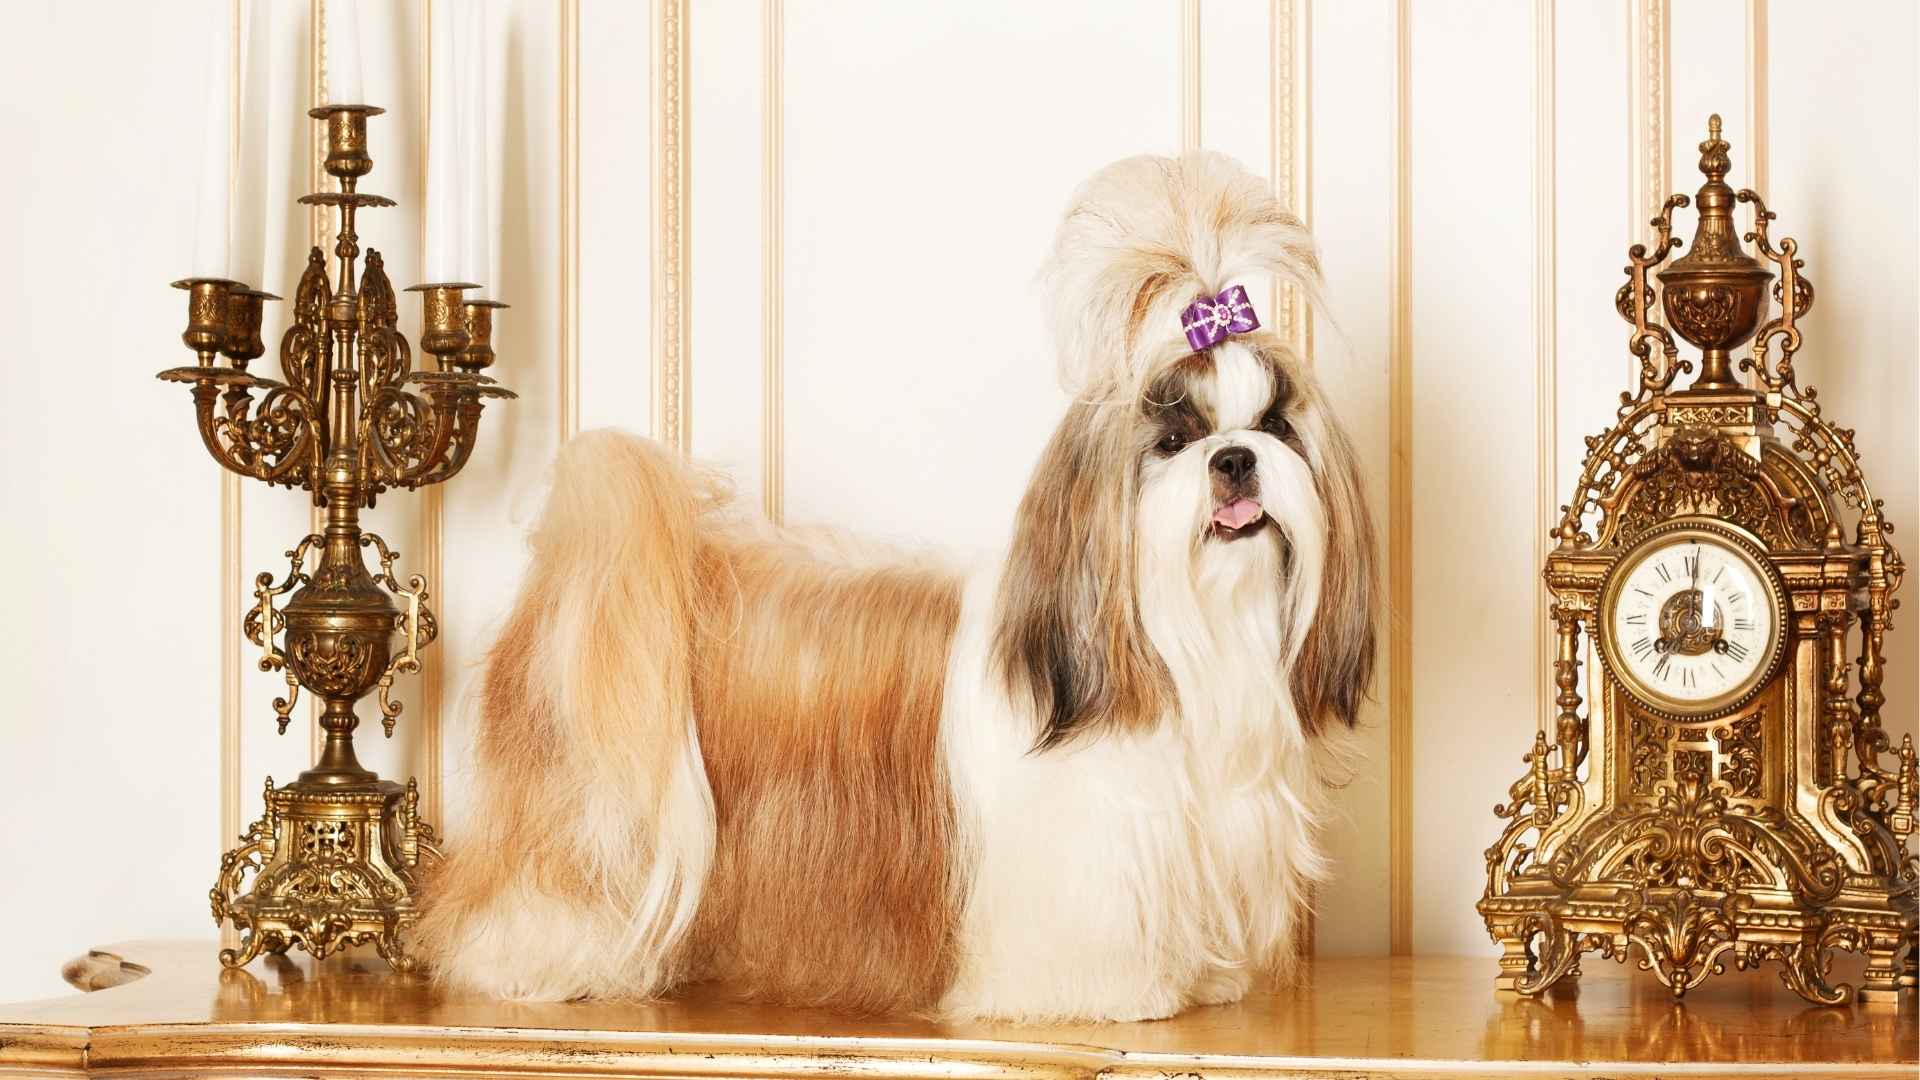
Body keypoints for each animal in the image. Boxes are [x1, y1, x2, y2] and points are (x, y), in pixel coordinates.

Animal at [414, 152, 1378, 1022]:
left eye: (1274, 423)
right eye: (1173, 439)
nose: (1236, 458)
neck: (1184, 651)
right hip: (584, 810)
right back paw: (540, 962)